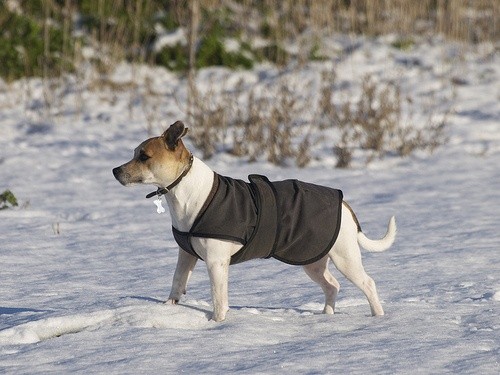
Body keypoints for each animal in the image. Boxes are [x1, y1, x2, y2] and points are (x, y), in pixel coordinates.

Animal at [112, 122, 394, 322]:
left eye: (144, 156)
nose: (115, 171)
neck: (186, 188)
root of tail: (345, 205)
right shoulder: (186, 255)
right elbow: (177, 282)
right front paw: (169, 309)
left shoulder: (216, 262)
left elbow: (218, 298)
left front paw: (217, 323)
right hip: (312, 260)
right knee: (332, 285)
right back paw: (326, 316)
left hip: (345, 257)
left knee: (368, 284)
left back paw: (378, 318)